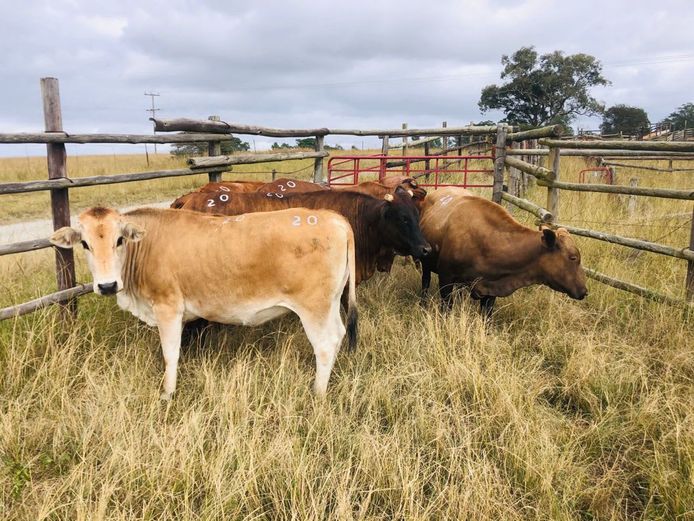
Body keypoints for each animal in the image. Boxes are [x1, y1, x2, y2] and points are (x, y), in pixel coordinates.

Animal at [50, 206, 358, 398]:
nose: (107, 285)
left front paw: (167, 394)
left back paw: (317, 393)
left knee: (325, 345)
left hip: (314, 307)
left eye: (119, 240)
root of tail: (332, 217)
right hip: (330, 304)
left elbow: (170, 354)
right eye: (85, 244)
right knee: (339, 334)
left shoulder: (168, 308)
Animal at [418, 188, 588, 316]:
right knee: (425, 281)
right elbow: (446, 308)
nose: (585, 291)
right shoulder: (446, 278)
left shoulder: (490, 289)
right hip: (426, 263)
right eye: (573, 257)